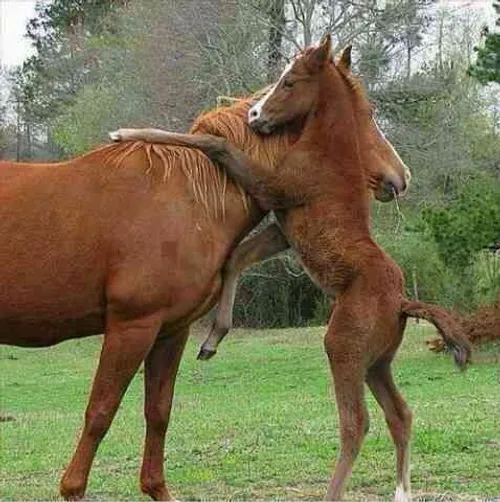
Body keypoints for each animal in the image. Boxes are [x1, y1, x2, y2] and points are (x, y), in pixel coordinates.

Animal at [0, 82, 406, 498]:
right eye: (364, 114)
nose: (400, 176)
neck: (188, 199)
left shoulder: (171, 331)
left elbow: (158, 412)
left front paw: (156, 488)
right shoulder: (132, 327)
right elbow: (101, 410)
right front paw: (72, 489)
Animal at [111, 36, 470, 502]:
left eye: (289, 81)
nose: (254, 115)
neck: (328, 148)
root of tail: (403, 302)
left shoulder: (273, 188)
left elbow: (216, 146)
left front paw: (126, 132)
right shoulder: (282, 227)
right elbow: (236, 258)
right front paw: (212, 339)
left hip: (343, 349)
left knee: (356, 424)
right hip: (377, 363)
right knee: (401, 414)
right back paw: (401, 490)